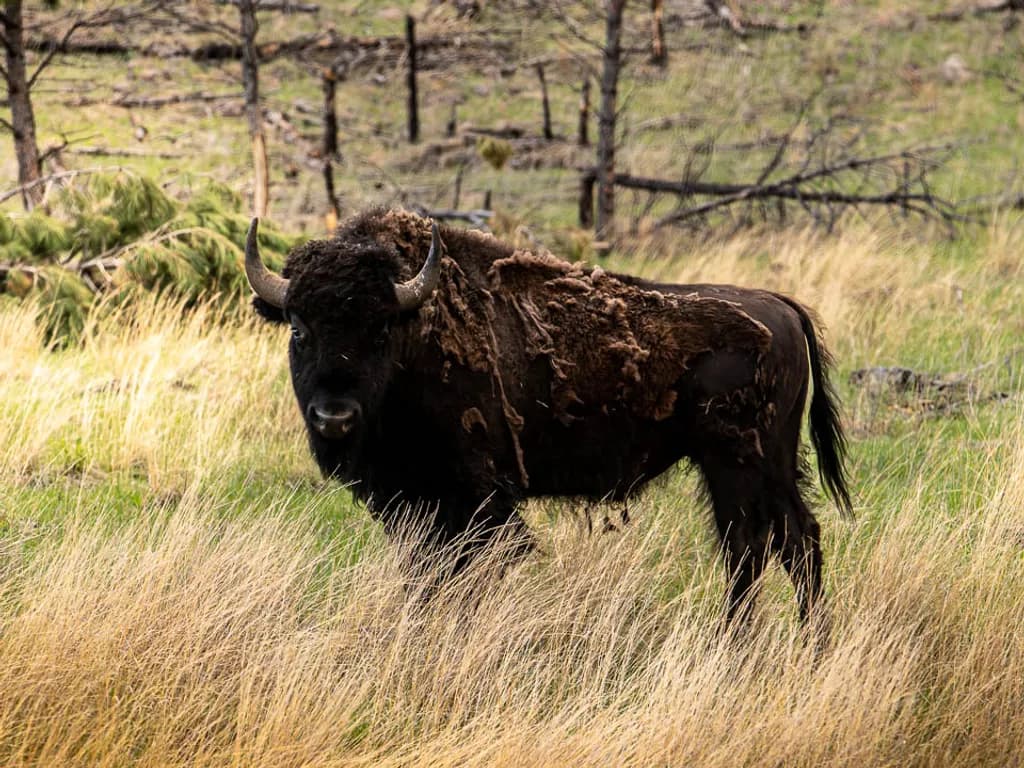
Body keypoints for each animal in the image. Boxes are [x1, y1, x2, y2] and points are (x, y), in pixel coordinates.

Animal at [246, 209, 852, 622]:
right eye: (298, 327)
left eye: (379, 331)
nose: (334, 417)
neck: (414, 336)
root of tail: (782, 306)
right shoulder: (416, 504)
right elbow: (425, 575)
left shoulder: (475, 502)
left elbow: (461, 574)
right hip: (768, 466)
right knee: (795, 541)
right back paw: (808, 643)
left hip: (736, 465)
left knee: (751, 547)